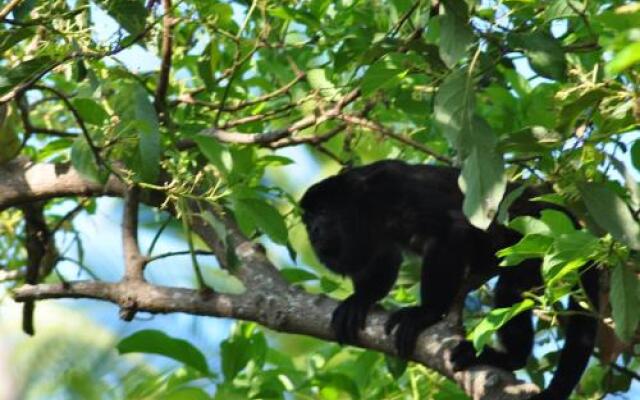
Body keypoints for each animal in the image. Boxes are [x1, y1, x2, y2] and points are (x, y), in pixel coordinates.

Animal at [302, 159, 600, 400]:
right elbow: (383, 260)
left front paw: (426, 312)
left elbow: (450, 229)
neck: (365, 206)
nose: (313, 231)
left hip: (537, 243)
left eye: (324, 212)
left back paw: (507, 356)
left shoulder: (395, 190)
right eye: (307, 220)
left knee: (510, 290)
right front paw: (360, 300)